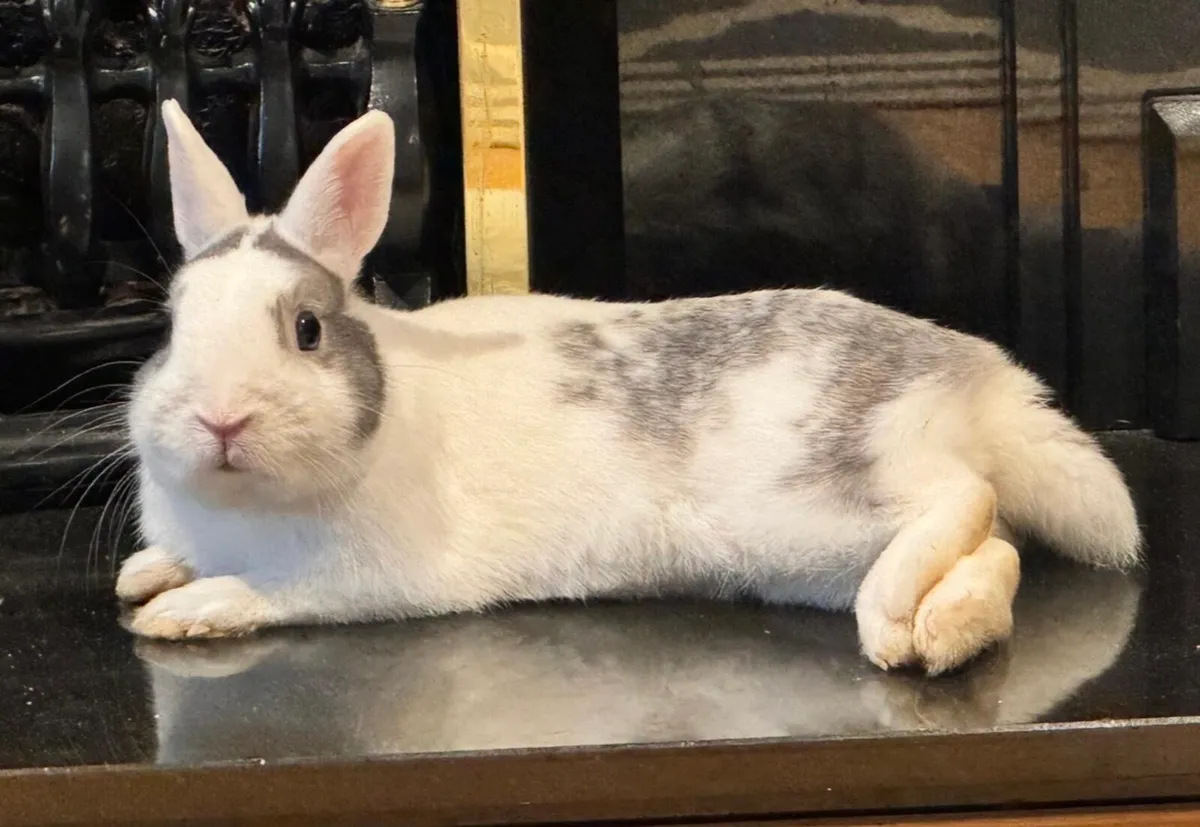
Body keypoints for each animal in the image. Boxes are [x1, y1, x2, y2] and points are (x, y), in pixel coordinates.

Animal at [116, 100, 1142, 675]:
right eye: (170, 326)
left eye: (307, 330)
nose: (220, 419)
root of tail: (975, 376)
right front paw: (146, 572)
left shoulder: (352, 577)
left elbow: (259, 592)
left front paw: (180, 611)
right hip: (812, 552)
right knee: (995, 544)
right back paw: (939, 626)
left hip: (813, 499)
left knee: (963, 497)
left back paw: (893, 621)